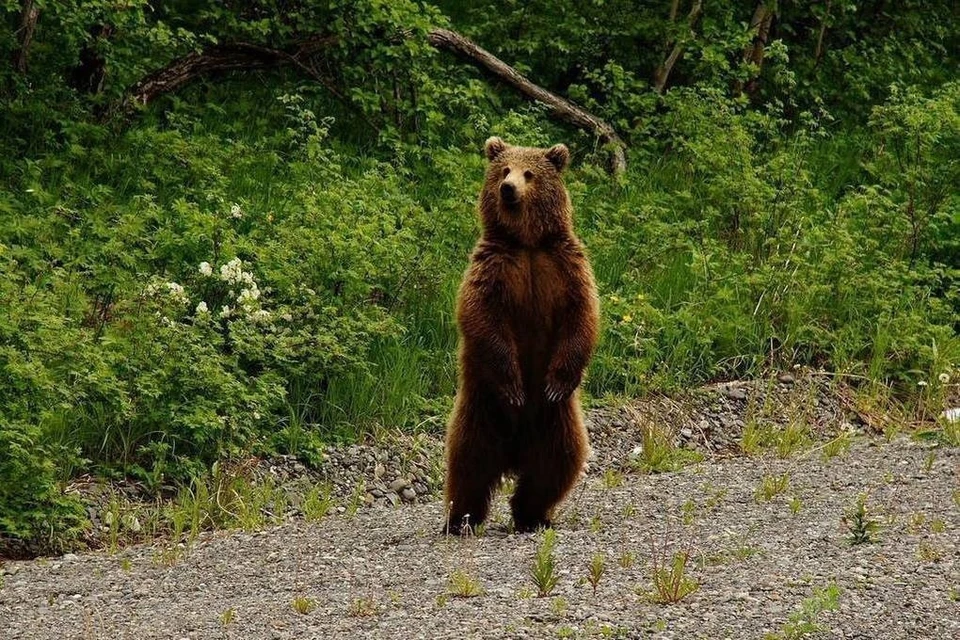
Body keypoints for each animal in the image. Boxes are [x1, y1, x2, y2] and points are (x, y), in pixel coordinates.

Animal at [444, 136, 600, 536]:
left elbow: (582, 316)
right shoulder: (492, 269)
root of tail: (514, 454)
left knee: (559, 462)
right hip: (481, 408)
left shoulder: (564, 266)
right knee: (468, 462)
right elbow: (483, 320)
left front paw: (559, 382)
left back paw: (533, 515)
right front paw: (514, 386)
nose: (508, 189)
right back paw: (460, 520)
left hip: (555, 421)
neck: (528, 243)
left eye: (529, 173)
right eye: (503, 170)